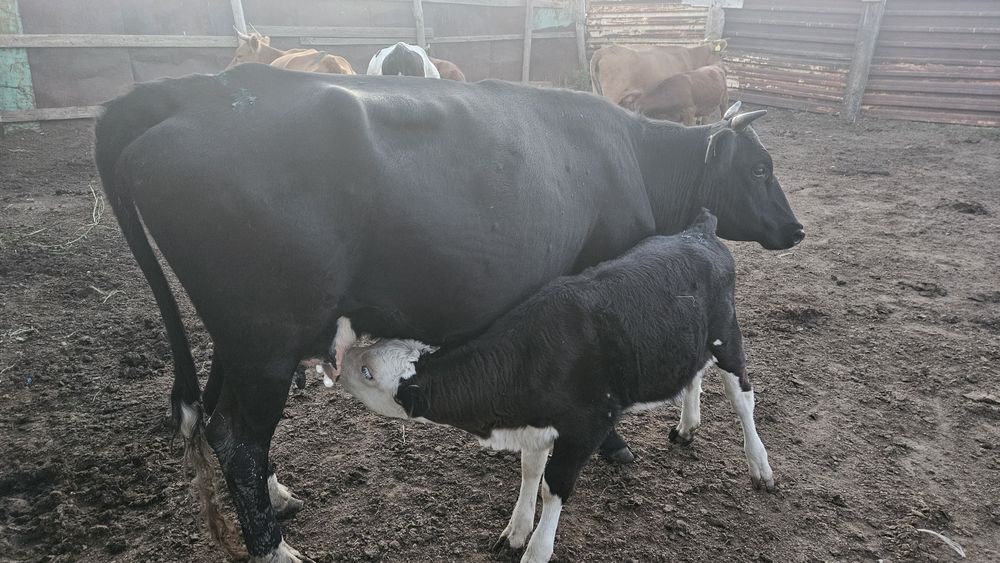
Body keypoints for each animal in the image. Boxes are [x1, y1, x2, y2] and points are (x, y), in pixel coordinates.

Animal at [335, 209, 774, 563]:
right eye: (371, 350)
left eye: (369, 371)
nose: (340, 365)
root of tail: (698, 231)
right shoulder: (536, 423)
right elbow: (530, 472)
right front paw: (515, 531)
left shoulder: (588, 425)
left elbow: (553, 486)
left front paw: (536, 550)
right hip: (688, 341)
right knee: (693, 373)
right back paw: (687, 426)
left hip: (726, 336)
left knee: (742, 397)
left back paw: (760, 466)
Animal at [590, 39, 727, 106]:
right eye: (721, 55)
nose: (724, 69)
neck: (691, 57)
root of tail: (605, 50)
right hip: (611, 94)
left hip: (596, 91)